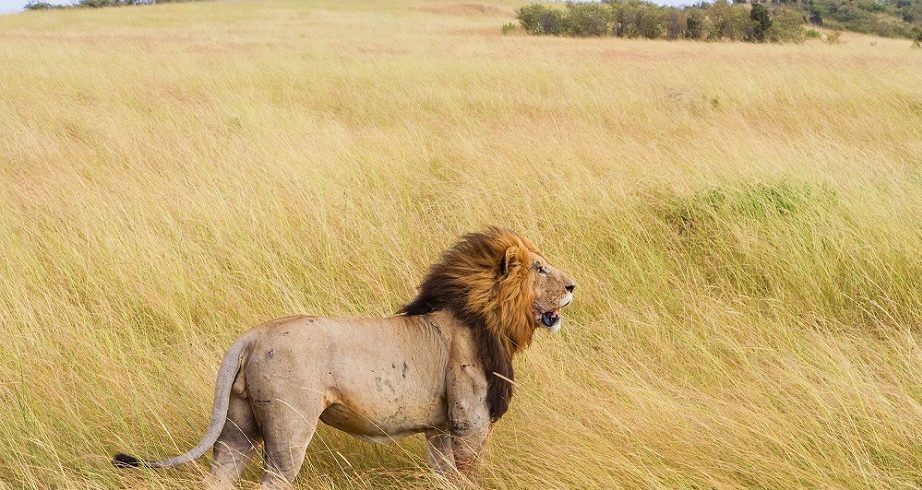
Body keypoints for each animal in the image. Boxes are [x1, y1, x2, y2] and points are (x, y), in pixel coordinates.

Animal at [111, 228, 576, 488]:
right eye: (539, 269)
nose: (573, 286)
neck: (487, 316)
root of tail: (252, 336)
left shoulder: (440, 429)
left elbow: (443, 476)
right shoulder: (468, 422)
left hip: (237, 426)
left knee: (218, 477)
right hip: (289, 428)